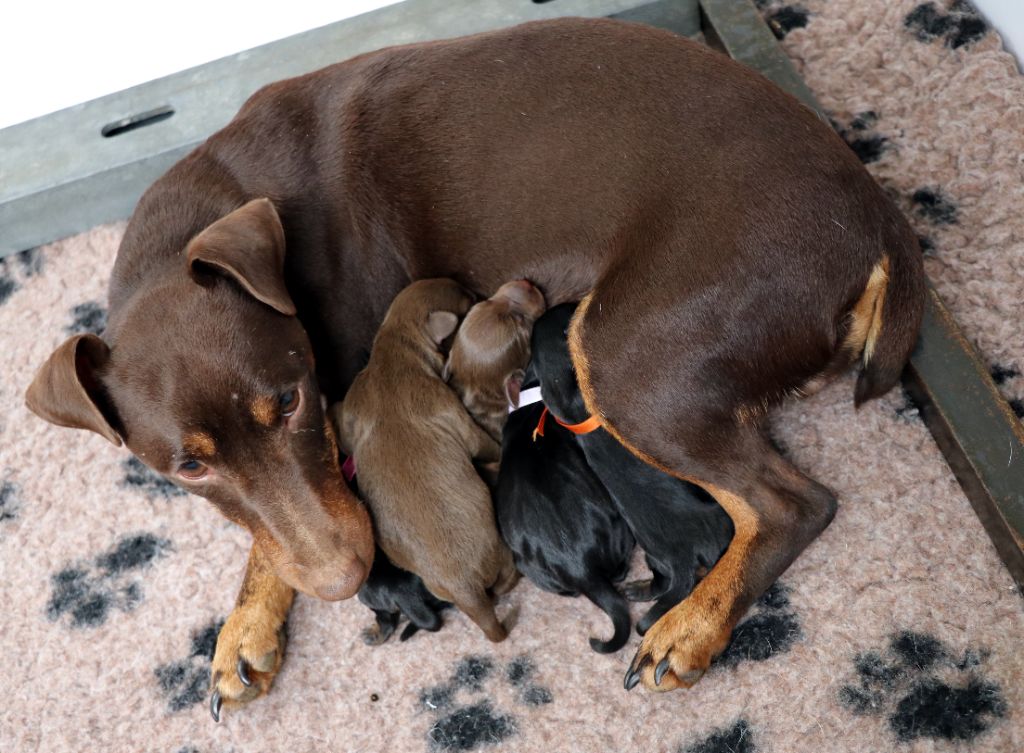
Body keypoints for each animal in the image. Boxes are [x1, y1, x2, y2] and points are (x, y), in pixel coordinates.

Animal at [329, 276, 516, 643]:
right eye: (467, 300)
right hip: (499, 551)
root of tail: (464, 587)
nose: (477, 293)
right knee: (507, 580)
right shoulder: (457, 418)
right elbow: (483, 443)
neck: (394, 349)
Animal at [528, 307, 737, 635]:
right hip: (719, 523)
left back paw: (635, 591)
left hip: (655, 558)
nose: (570, 304)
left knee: (662, 583)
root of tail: (683, 559)